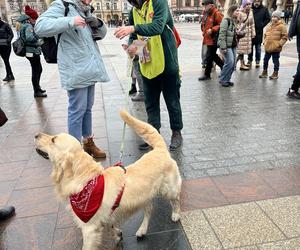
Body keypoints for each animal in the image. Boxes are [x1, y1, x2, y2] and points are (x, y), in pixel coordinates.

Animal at [34, 109, 180, 250]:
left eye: (53, 140)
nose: (36, 135)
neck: (86, 180)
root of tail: (160, 149)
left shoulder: (89, 228)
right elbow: (111, 225)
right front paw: (117, 234)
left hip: (169, 190)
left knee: (176, 200)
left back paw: (176, 215)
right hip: (144, 196)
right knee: (149, 209)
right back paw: (142, 230)